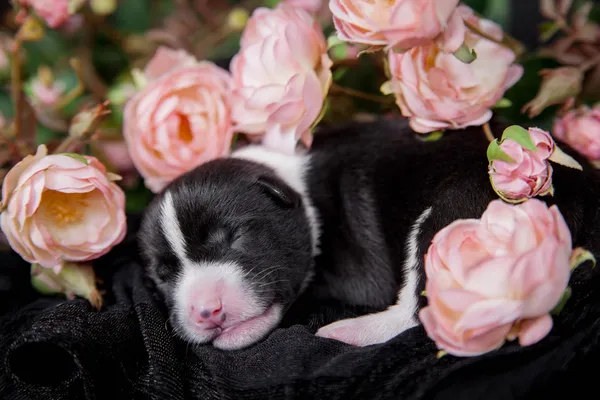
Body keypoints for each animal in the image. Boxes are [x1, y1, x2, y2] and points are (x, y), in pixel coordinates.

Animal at [137, 119, 600, 350]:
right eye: (163, 274)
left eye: (233, 238)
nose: (206, 311)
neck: (300, 192)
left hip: (453, 214)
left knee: (420, 312)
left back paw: (347, 332)